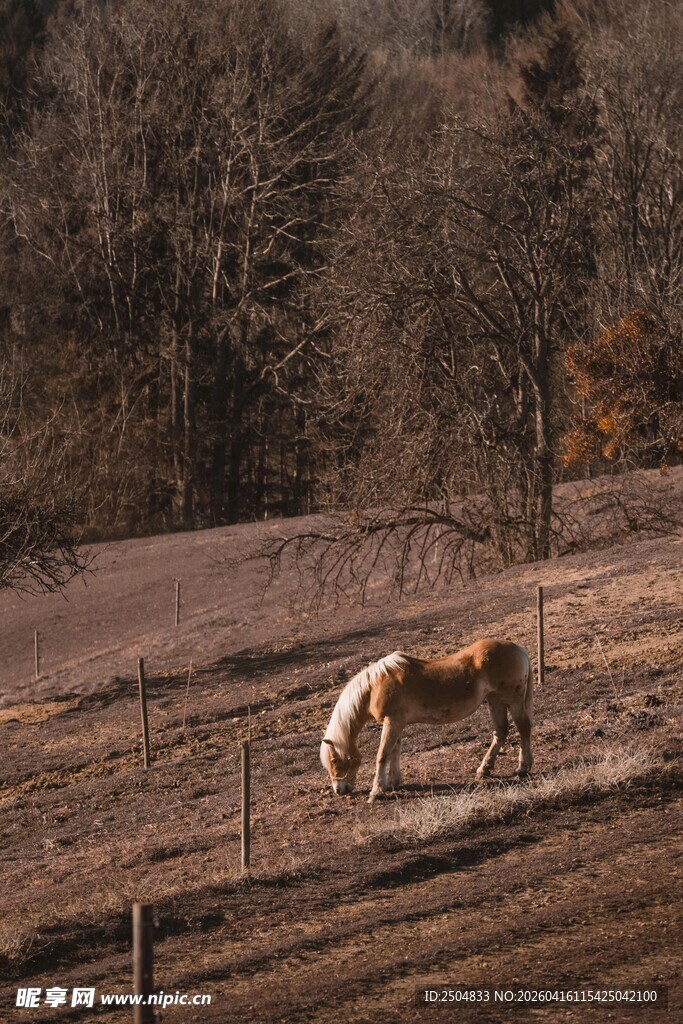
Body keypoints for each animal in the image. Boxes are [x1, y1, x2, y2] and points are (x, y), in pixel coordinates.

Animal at [320, 638, 533, 803]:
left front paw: (376, 791)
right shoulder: (396, 723)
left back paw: (523, 767)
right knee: (501, 731)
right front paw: (394, 783)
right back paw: (484, 769)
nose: (339, 790)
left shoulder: (392, 722)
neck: (375, 686)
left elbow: (382, 754)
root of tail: (519, 649)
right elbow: (394, 750)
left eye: (334, 759)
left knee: (523, 727)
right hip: (495, 699)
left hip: (512, 698)